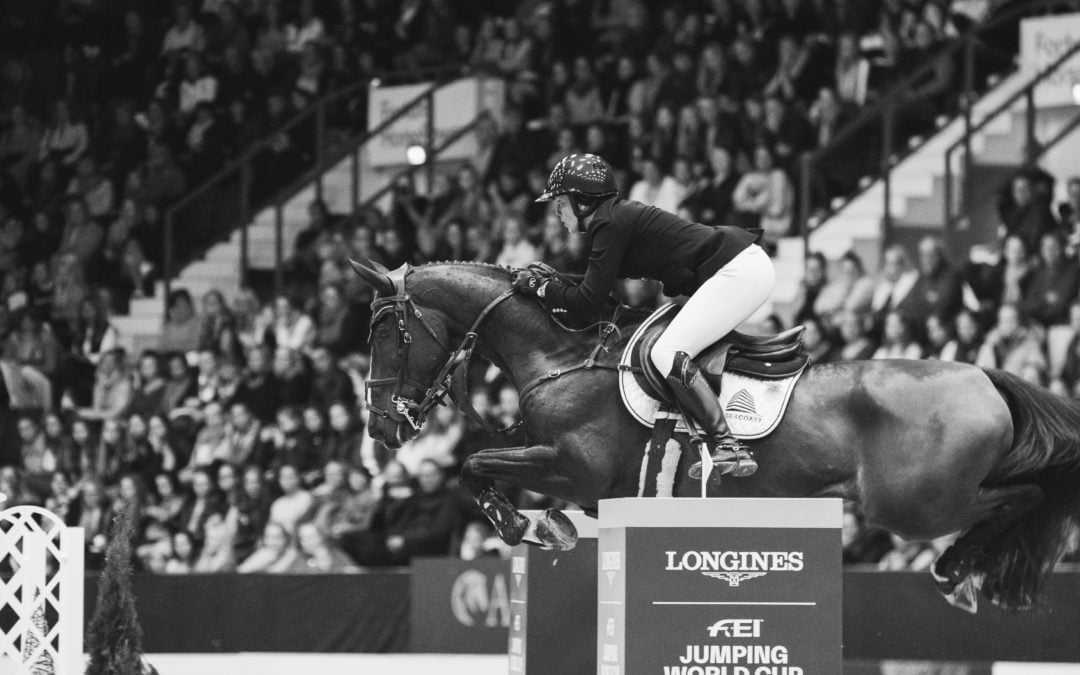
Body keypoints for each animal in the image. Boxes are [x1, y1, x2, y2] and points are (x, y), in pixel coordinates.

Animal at [349, 257, 1080, 612]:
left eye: (385, 331)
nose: (380, 426)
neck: (560, 358)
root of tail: (983, 375)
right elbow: (481, 466)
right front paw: (542, 525)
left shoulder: (570, 466)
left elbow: (473, 465)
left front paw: (528, 527)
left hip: (916, 503)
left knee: (1024, 496)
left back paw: (956, 570)